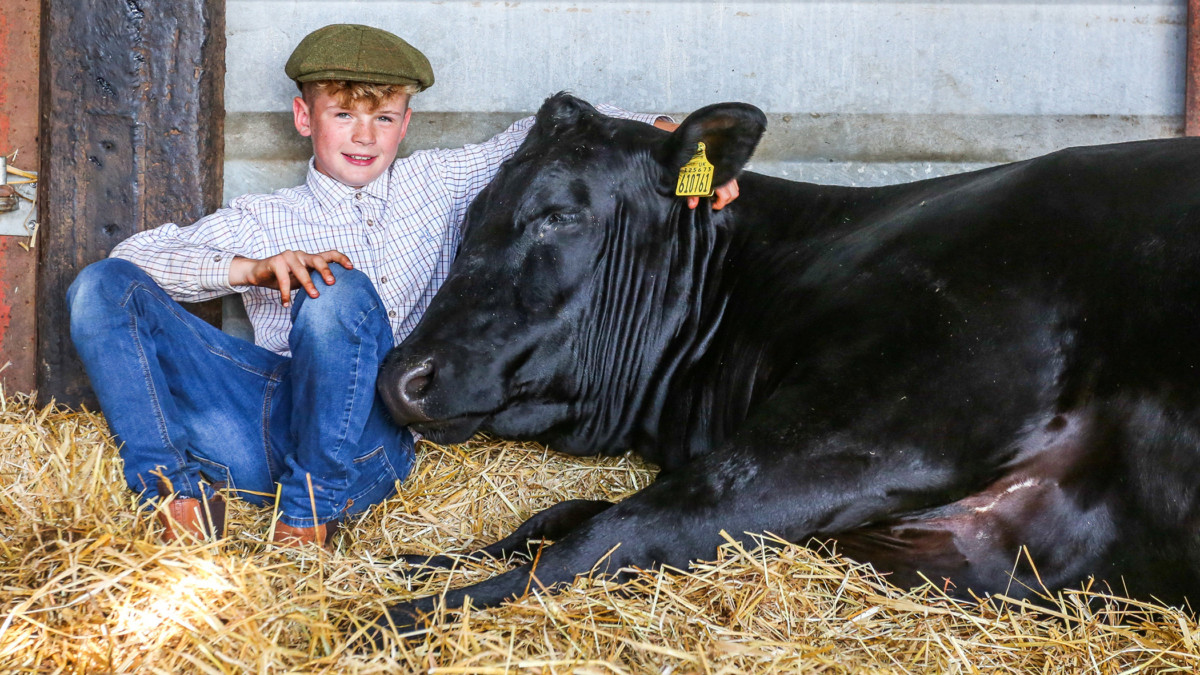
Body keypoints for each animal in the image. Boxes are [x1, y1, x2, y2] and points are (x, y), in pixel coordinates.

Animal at [374, 90, 1200, 629]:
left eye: (558, 214)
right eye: (474, 213)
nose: (399, 377)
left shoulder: (881, 420)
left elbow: (608, 534)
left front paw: (404, 614)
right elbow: (564, 513)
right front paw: (417, 562)